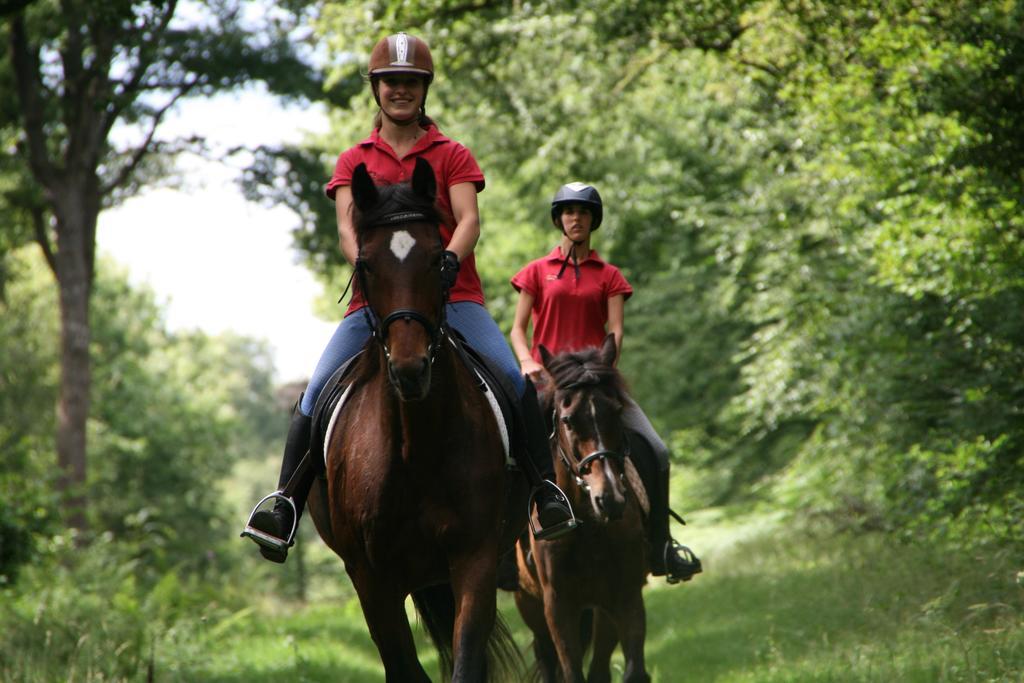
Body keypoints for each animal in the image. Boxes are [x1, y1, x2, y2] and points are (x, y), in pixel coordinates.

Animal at [303, 157, 528, 679]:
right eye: (366, 264)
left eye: (437, 259)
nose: (410, 370)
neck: (415, 446)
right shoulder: (372, 579)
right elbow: (403, 668)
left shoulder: (475, 560)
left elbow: (466, 661)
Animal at [516, 335, 651, 683]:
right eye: (567, 420)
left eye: (617, 411)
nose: (610, 497)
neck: (589, 527)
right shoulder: (558, 607)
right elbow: (570, 671)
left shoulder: (626, 595)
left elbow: (633, 670)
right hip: (530, 605)